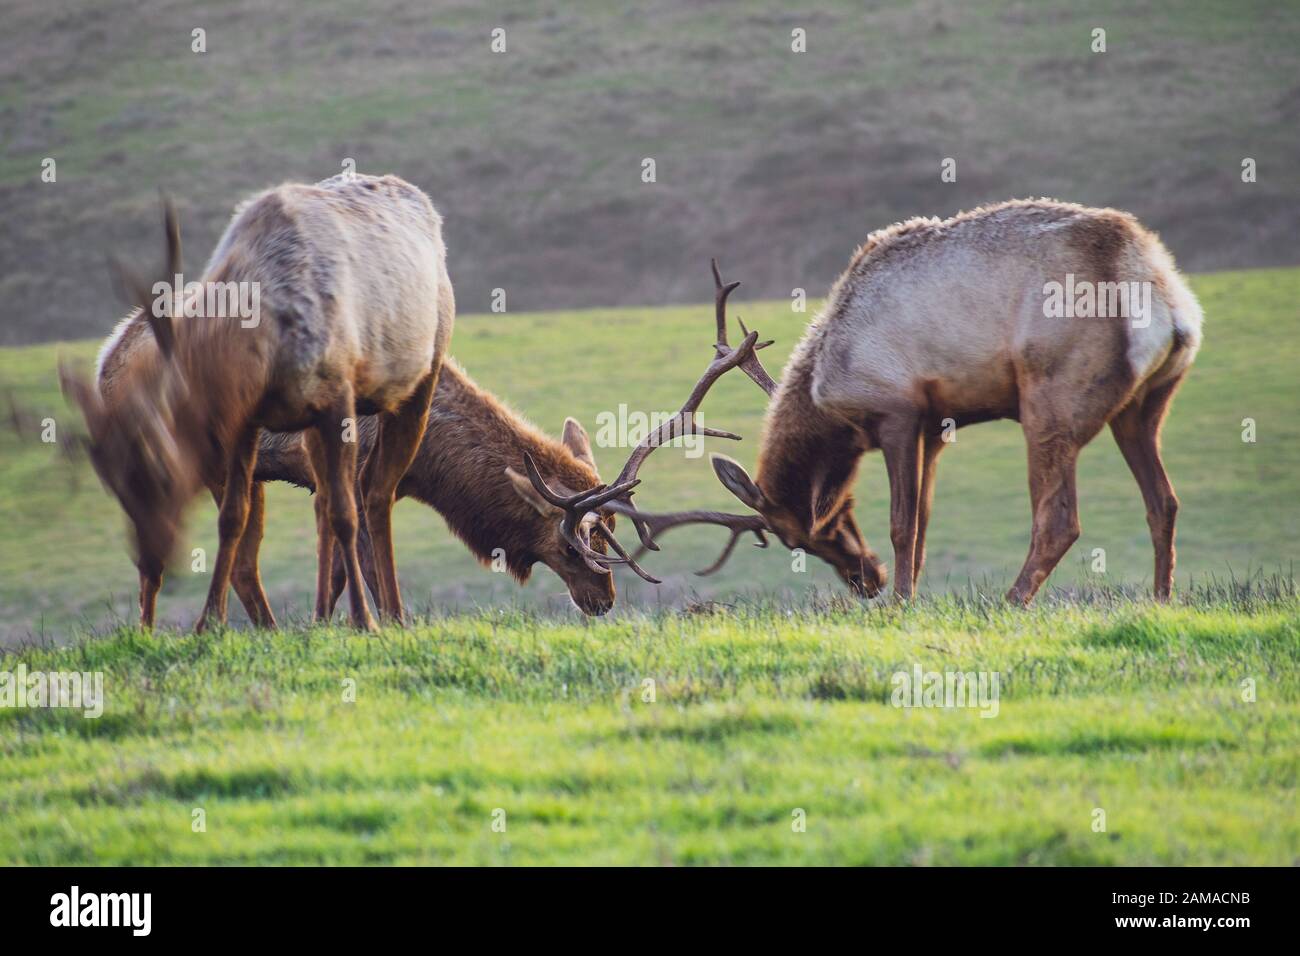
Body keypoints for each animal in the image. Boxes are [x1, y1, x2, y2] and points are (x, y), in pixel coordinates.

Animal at [62, 174, 452, 632]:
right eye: (113, 486)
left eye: (164, 474)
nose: (152, 560)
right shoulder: (244, 421)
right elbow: (233, 518)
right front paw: (208, 622)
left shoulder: (337, 399)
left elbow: (345, 513)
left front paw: (363, 620)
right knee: (332, 498)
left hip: (420, 381)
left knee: (377, 494)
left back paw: (392, 614)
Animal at [624, 201, 1201, 606]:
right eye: (839, 515)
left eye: (800, 536)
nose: (867, 580)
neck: (830, 398)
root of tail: (1169, 305)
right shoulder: (936, 425)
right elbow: (923, 519)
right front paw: (911, 597)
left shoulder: (897, 410)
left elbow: (903, 523)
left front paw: (899, 603)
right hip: (1146, 405)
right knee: (1164, 501)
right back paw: (1161, 598)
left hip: (1052, 398)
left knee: (1060, 519)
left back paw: (1011, 600)